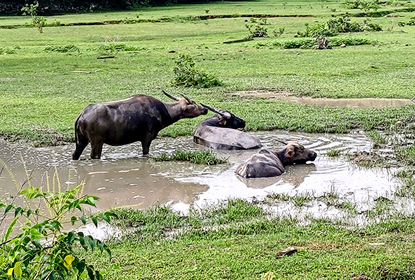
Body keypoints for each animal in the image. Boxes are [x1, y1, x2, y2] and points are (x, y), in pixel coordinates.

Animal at [72, 90, 208, 160]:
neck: (163, 110)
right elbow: (146, 152)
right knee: (94, 156)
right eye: (193, 104)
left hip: (81, 140)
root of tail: (82, 115)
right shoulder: (147, 137)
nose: (205, 109)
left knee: (75, 155)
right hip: (97, 142)